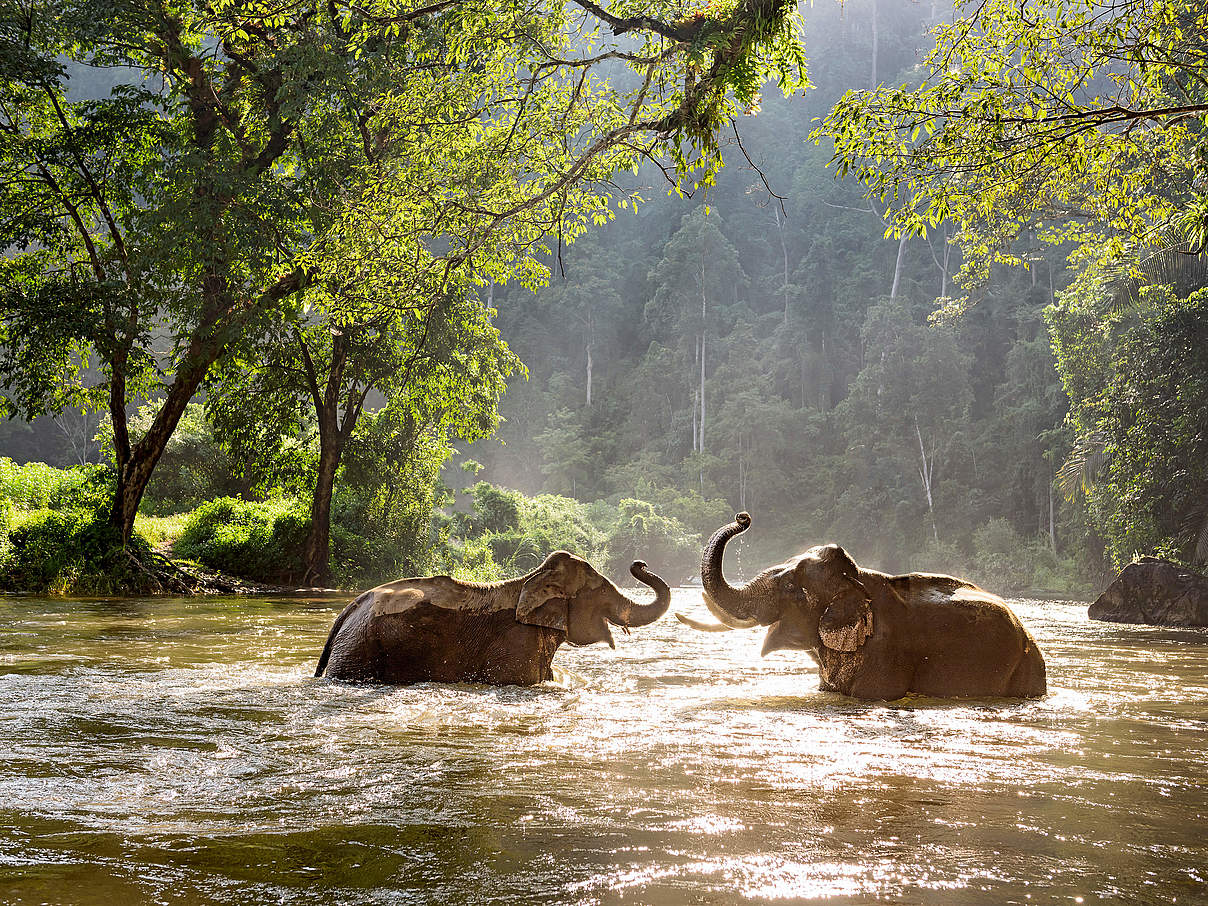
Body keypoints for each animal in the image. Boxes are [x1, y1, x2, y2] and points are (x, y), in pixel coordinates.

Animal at [314, 550, 671, 686]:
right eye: (601, 592)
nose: (640, 562)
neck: (530, 580)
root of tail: (349, 609)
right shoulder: (515, 646)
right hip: (359, 649)